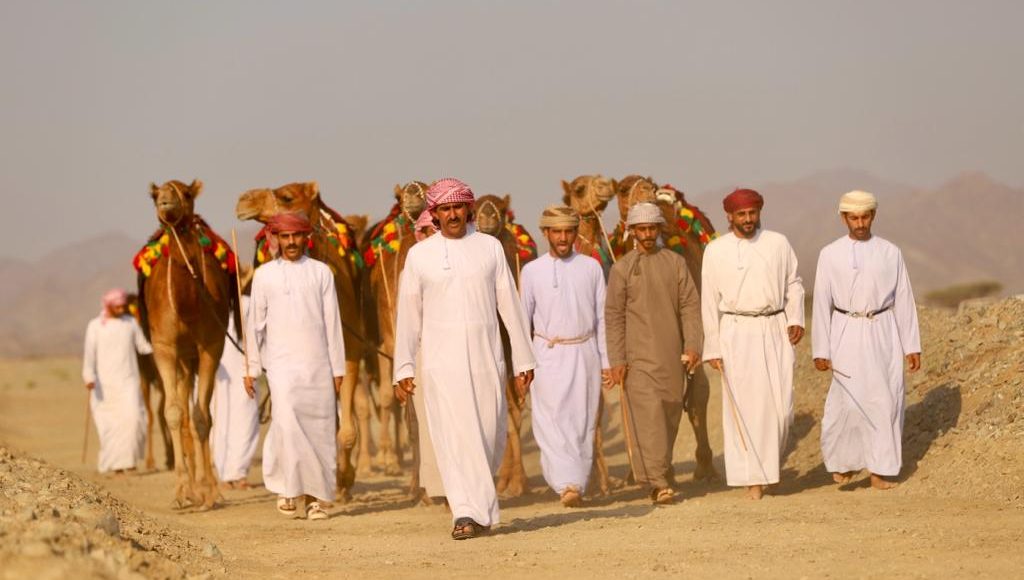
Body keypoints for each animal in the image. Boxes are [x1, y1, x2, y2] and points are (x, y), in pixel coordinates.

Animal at [127, 293, 172, 471]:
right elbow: (151, 415)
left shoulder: (161, 380)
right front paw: (150, 461)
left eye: (140, 308)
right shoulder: (144, 379)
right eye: (129, 311)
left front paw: (170, 458)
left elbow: (163, 414)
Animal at [135, 179, 239, 509]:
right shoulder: (164, 348)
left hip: (193, 357)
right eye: (155, 194)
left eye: (187, 193)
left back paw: (208, 489)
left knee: (196, 414)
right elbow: (174, 414)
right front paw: (182, 491)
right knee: (180, 412)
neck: (188, 306)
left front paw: (209, 491)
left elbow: (202, 417)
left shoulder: (212, 346)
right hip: (181, 359)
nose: (166, 202)